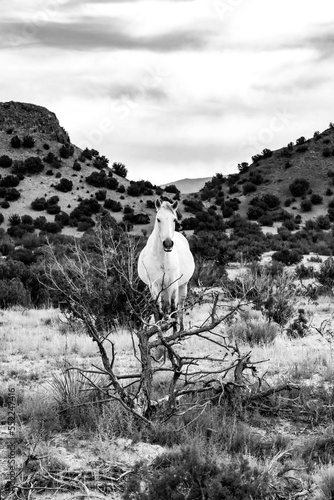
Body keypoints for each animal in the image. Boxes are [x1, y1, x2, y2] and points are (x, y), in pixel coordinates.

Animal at [138, 199, 196, 332]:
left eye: (174, 219)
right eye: (158, 219)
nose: (168, 244)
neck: (161, 259)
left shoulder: (173, 284)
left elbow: (174, 309)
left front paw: (174, 332)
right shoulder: (155, 286)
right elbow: (158, 311)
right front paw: (160, 330)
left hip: (183, 286)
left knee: (180, 307)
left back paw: (181, 329)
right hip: (162, 290)